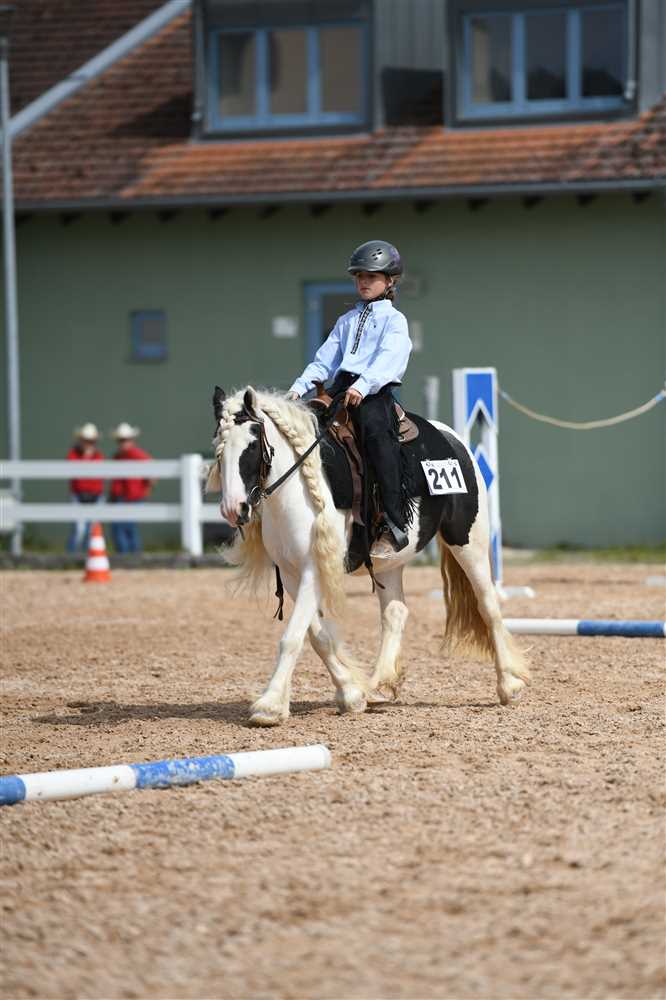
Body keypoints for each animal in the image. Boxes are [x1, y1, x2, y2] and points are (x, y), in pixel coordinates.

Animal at [206, 386, 529, 726]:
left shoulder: (314, 570)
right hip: (391, 564)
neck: (299, 489)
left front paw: (268, 705)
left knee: (488, 606)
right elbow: (319, 637)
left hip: (469, 543)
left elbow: (292, 637)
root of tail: (453, 440)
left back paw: (509, 684)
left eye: (253, 444)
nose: (233, 509)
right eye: (219, 445)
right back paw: (379, 686)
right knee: (395, 613)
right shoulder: (293, 575)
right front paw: (351, 694)